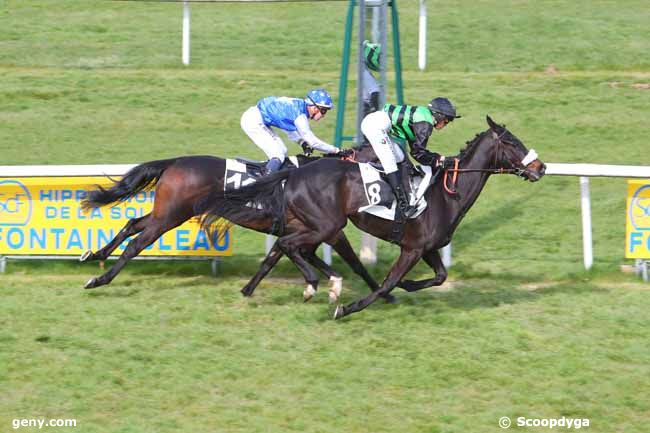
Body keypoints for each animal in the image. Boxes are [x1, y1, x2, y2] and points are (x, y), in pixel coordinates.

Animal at [78, 147, 388, 302]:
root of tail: (176, 161)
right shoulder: (327, 231)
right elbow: (355, 264)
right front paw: (383, 294)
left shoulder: (299, 232)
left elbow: (271, 259)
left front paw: (248, 290)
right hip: (169, 217)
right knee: (136, 244)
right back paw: (100, 279)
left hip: (166, 212)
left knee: (132, 224)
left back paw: (95, 254)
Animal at [204, 116, 548, 318]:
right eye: (512, 142)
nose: (541, 167)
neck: (447, 194)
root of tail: (295, 171)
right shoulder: (412, 249)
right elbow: (386, 284)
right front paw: (347, 308)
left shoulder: (427, 248)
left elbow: (440, 276)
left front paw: (408, 285)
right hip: (328, 224)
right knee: (288, 245)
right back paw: (314, 285)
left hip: (313, 224)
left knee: (285, 247)